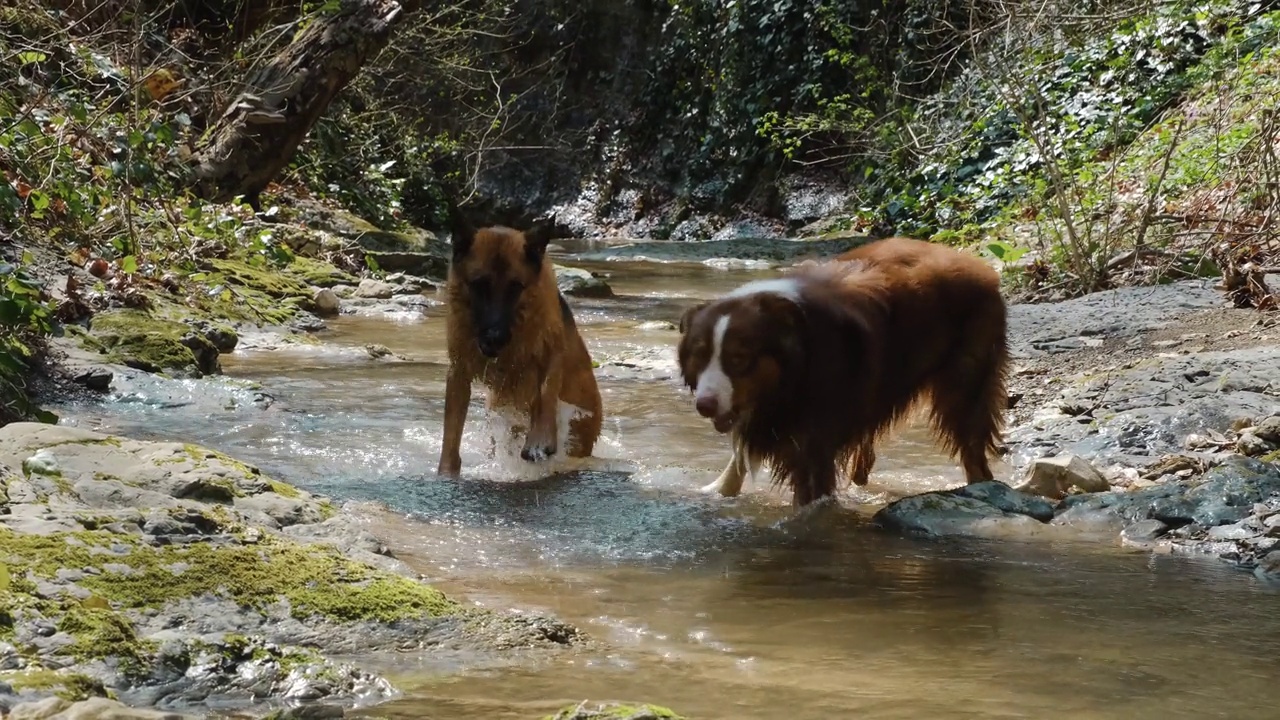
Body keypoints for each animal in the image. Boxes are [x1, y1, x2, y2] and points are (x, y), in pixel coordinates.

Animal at [437, 208, 601, 476]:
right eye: (479, 285)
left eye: (515, 287)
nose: (495, 337)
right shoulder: (458, 372)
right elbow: (451, 432)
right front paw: (446, 473)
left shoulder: (553, 351)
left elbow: (546, 391)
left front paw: (540, 440)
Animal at [680, 235, 1008, 504]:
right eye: (700, 355)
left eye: (739, 358)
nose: (705, 406)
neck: (793, 374)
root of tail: (982, 268)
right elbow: (737, 456)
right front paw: (716, 491)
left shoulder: (814, 444)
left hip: (964, 387)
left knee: (974, 453)